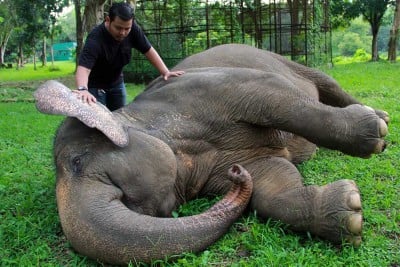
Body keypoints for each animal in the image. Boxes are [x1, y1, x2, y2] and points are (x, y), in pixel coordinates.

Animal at [32, 44, 390, 266]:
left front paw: (374, 136)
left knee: (326, 84)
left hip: (286, 61)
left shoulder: (210, 88)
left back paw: (381, 120)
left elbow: (274, 98)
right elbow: (271, 185)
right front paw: (351, 211)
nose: (236, 173)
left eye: (77, 162)